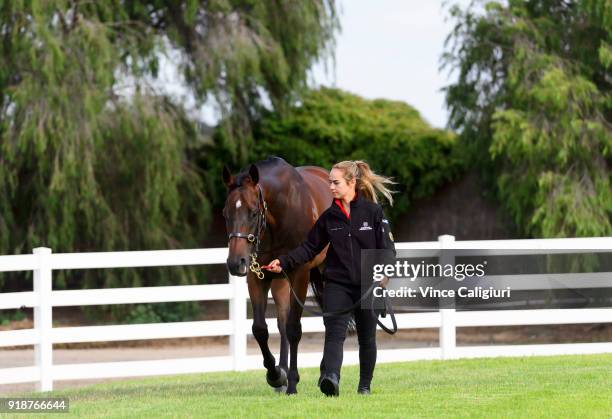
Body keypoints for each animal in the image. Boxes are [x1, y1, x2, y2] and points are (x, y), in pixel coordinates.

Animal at [222, 156, 332, 396]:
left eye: (253, 212)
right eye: (226, 214)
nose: (235, 263)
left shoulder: (300, 274)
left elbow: (294, 329)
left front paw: (292, 382)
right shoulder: (258, 276)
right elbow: (260, 329)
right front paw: (275, 375)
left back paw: (323, 375)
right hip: (280, 280)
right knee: (281, 322)